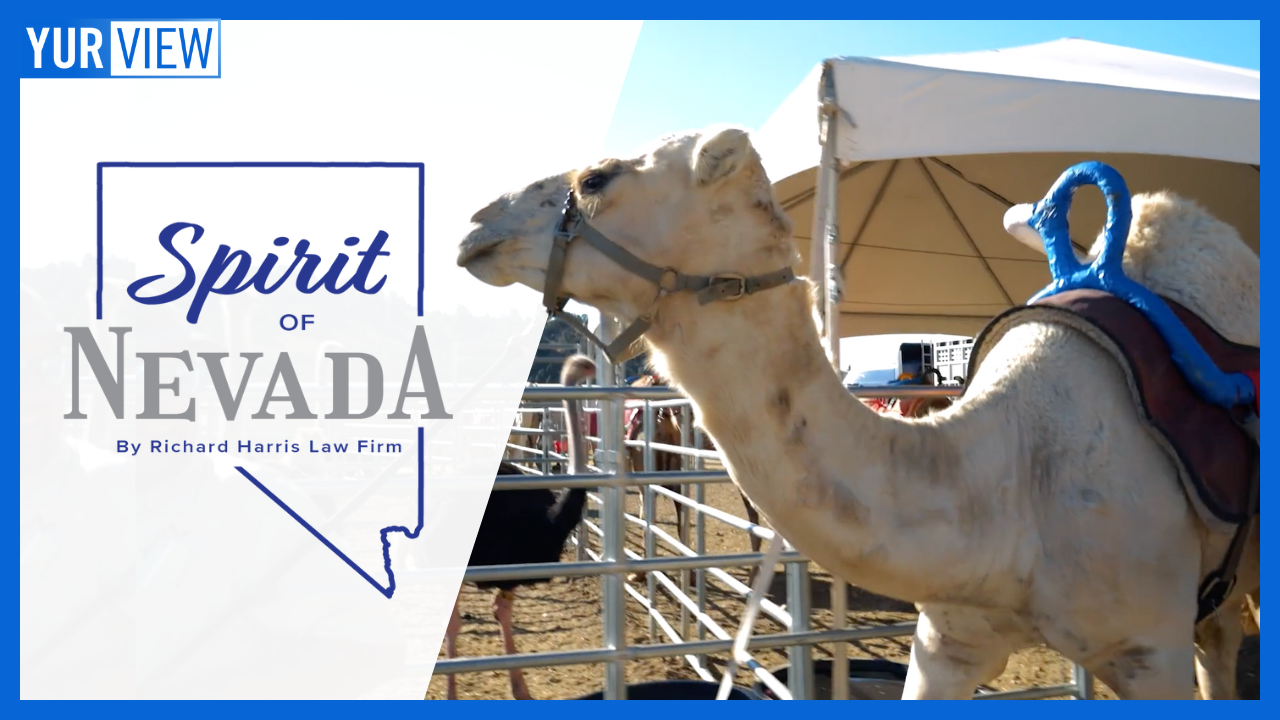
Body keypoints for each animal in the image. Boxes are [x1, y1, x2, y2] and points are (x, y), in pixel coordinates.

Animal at [456, 125, 1259, 699]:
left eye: (596, 178)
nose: (476, 224)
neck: (1013, 482)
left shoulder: (1147, 650)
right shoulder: (948, 641)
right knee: (1221, 641)